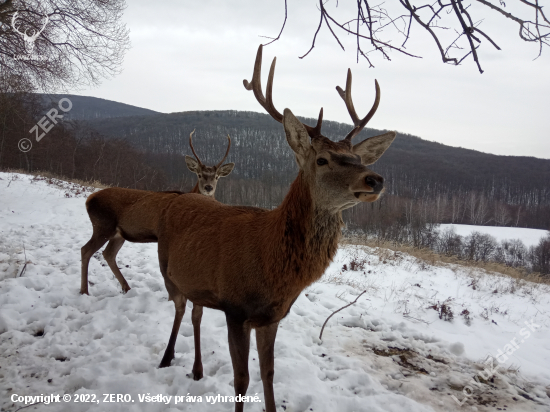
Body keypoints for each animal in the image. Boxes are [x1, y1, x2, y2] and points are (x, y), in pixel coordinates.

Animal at [81, 130, 234, 294]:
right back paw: (84, 290)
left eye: (217, 177)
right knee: (86, 250)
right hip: (103, 225)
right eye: (199, 174)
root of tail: (89, 199)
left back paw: (126, 287)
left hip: (118, 233)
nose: (208, 187)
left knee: (108, 254)